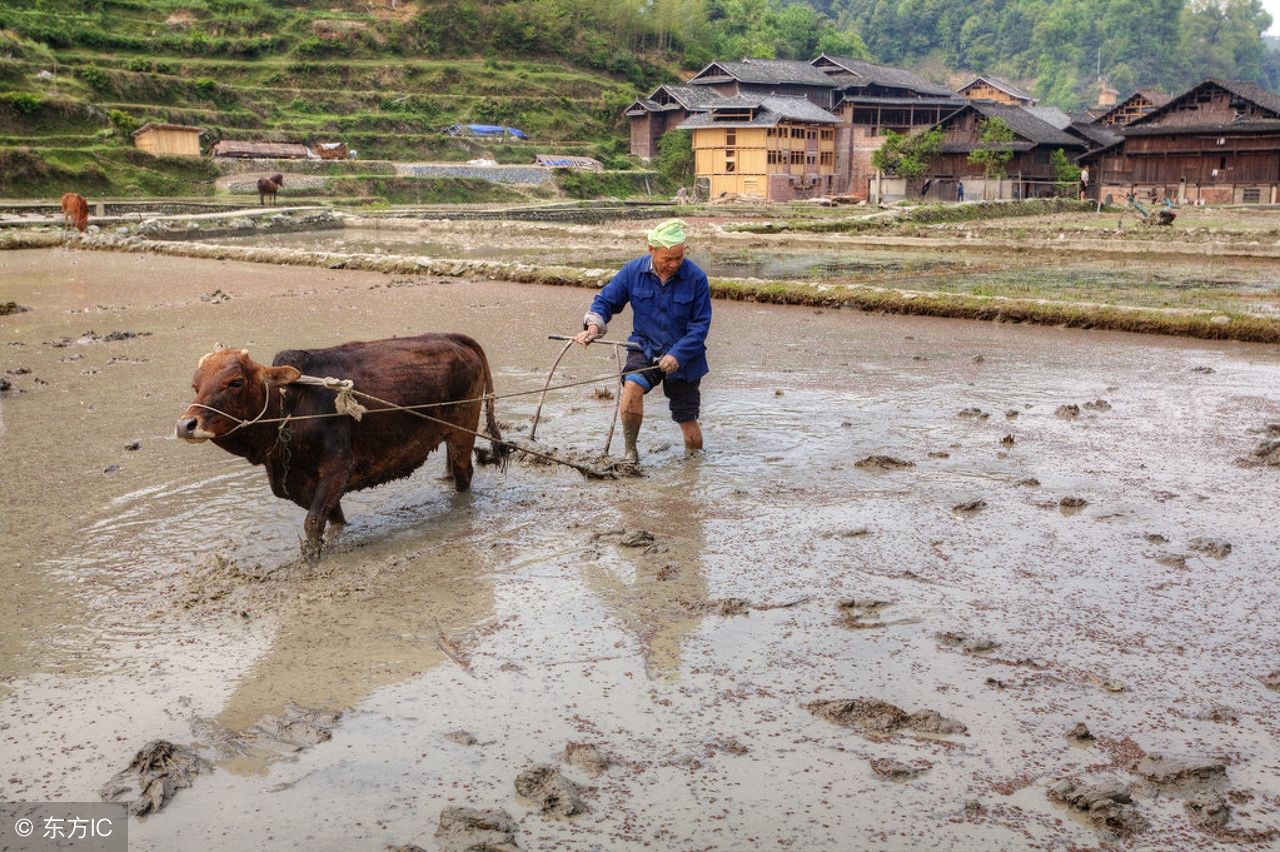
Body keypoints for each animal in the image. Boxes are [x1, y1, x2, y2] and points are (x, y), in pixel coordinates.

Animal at [174, 335, 509, 560]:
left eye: (235, 382)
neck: (290, 408)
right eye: (195, 384)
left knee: (465, 474)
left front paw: (310, 561)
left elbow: (312, 523)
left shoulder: (338, 468)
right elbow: (330, 520)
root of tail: (454, 338)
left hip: (463, 432)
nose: (185, 425)